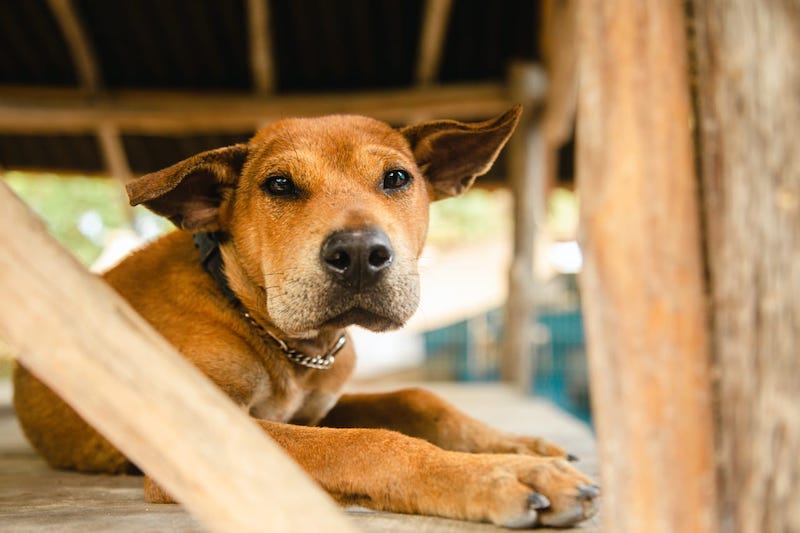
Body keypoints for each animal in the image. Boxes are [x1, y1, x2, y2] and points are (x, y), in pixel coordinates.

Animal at [15, 106, 596, 524]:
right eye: (279, 185)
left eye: (396, 178)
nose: (360, 253)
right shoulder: (203, 429)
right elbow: (369, 442)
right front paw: (501, 475)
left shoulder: (316, 411)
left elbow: (417, 398)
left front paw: (515, 445)